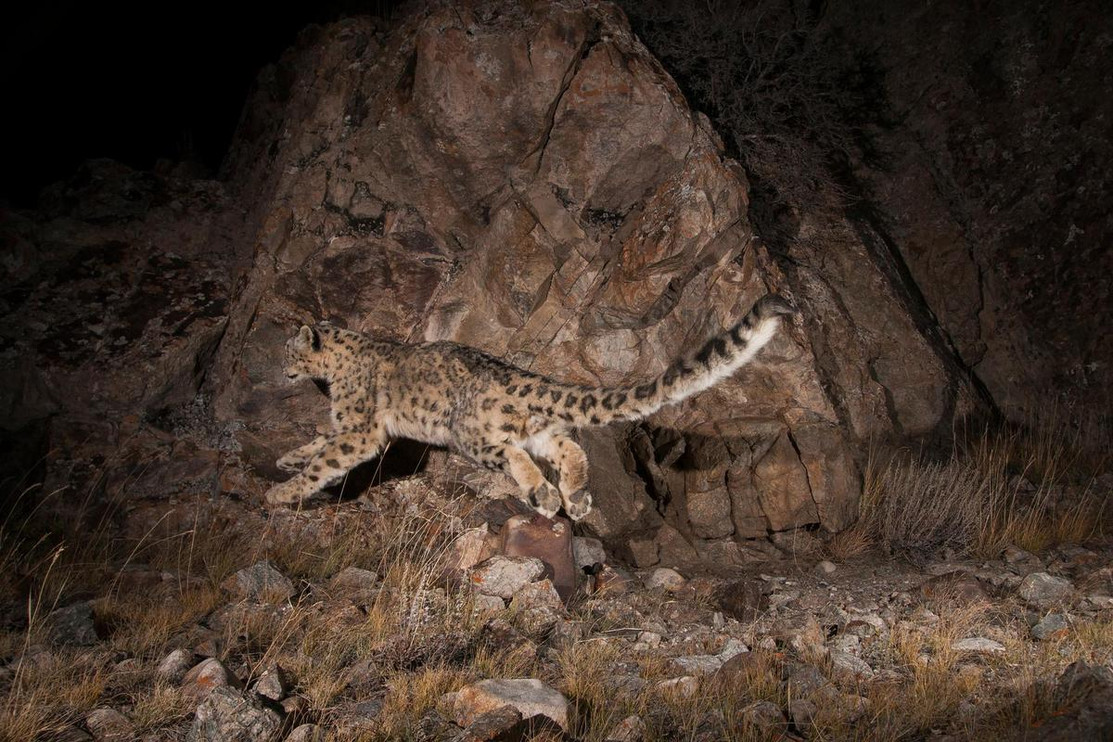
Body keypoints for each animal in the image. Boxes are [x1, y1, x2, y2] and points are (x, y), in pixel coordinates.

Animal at [265, 293, 796, 520]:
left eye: (289, 352)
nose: (280, 369)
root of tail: (520, 376)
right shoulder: (344, 428)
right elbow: (318, 442)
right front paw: (288, 457)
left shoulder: (359, 430)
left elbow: (327, 459)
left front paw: (284, 491)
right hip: (540, 430)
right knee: (571, 450)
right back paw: (575, 498)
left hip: (471, 435)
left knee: (512, 454)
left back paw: (543, 494)